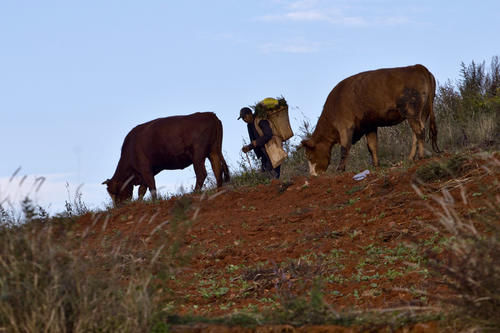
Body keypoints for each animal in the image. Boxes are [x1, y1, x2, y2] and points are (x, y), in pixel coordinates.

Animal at [104, 111, 232, 204]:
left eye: (115, 192)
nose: (118, 206)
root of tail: (210, 114)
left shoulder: (145, 169)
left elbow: (151, 186)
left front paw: (154, 201)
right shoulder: (145, 172)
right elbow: (142, 189)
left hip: (198, 155)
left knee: (202, 173)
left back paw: (195, 192)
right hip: (213, 151)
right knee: (217, 169)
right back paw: (218, 189)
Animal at [300, 63, 438, 175]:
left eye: (309, 155)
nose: (313, 175)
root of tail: (417, 66)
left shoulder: (345, 126)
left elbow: (344, 148)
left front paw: (340, 169)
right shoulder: (369, 125)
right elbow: (372, 146)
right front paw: (376, 165)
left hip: (411, 111)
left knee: (419, 132)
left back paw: (420, 156)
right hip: (422, 113)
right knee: (416, 133)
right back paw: (410, 158)